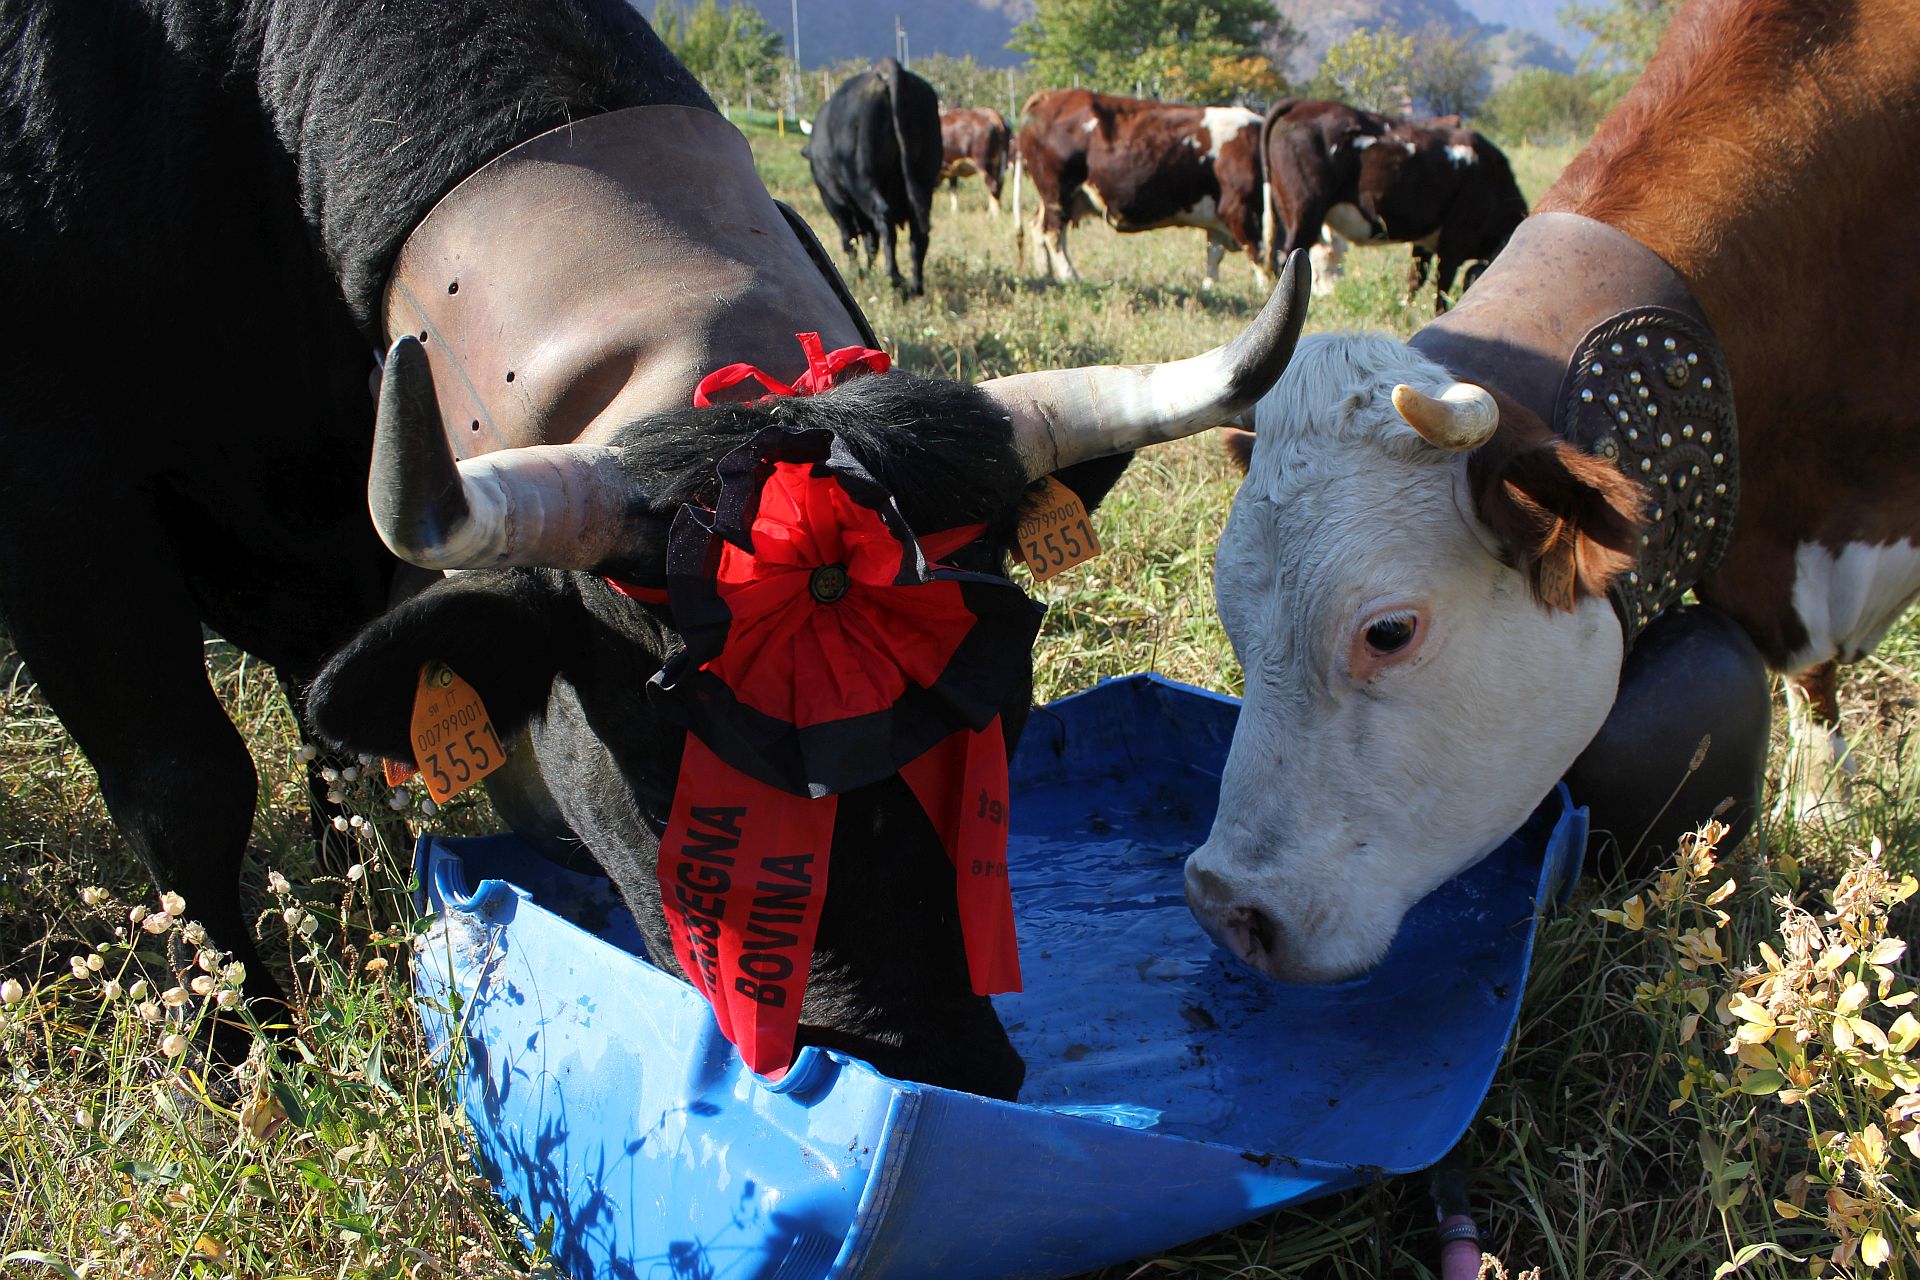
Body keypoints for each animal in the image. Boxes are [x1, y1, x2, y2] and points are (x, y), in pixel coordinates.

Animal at [805, 58, 943, 297]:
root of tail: (887, 68)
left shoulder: (834, 202)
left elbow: (850, 240)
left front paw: (858, 273)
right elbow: (870, 242)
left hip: (862, 178)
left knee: (882, 218)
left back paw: (894, 276)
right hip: (923, 180)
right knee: (919, 233)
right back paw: (915, 287)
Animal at [1016, 89, 1267, 289]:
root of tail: (1051, 96)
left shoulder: (1219, 218)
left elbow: (1215, 253)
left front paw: (1209, 287)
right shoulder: (1241, 209)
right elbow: (1259, 254)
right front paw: (1264, 291)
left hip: (1056, 197)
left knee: (1038, 227)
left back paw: (1046, 273)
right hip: (1057, 193)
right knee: (1053, 233)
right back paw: (1070, 277)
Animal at [1262, 100, 1527, 310]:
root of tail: (1301, 104)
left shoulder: (1424, 243)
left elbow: (1416, 279)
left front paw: (1404, 310)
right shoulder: (1454, 243)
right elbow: (1441, 291)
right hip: (1304, 214)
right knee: (1286, 260)